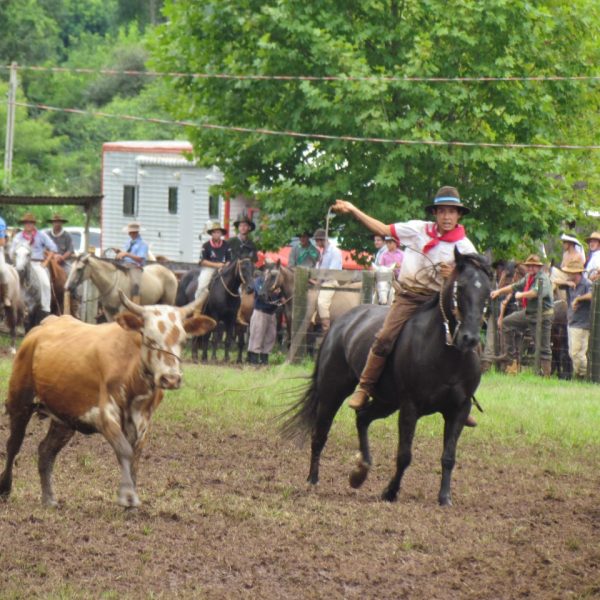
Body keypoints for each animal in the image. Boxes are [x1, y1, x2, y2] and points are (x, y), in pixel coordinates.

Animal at [0, 290, 216, 506]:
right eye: (149, 338)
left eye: (183, 340)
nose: (170, 378)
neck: (132, 369)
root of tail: (40, 328)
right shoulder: (105, 415)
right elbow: (125, 451)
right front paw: (126, 495)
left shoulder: (143, 421)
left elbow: (135, 457)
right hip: (20, 402)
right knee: (13, 445)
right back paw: (5, 488)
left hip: (64, 419)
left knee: (46, 451)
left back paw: (49, 499)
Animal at [282, 250, 492, 506]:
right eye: (459, 288)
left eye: (487, 291)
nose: (469, 338)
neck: (447, 353)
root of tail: (339, 323)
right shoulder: (410, 406)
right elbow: (404, 454)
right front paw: (390, 492)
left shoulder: (459, 409)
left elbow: (449, 456)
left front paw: (444, 498)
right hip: (333, 391)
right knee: (320, 433)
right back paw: (312, 480)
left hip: (387, 402)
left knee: (362, 417)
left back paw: (360, 472)